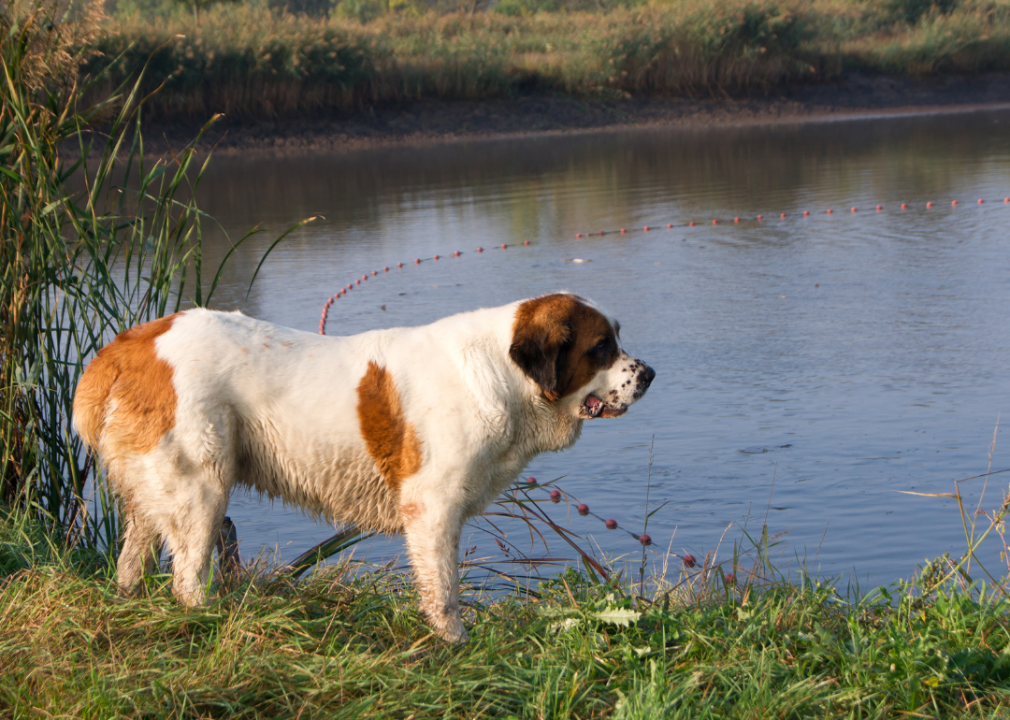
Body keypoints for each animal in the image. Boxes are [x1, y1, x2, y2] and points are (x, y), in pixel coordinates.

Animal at [73, 292, 654, 642]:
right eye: (601, 347)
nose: (649, 373)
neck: (503, 374)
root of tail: (129, 345)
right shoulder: (432, 508)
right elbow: (444, 589)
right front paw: (454, 645)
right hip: (201, 484)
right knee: (188, 578)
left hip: (156, 485)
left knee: (131, 560)